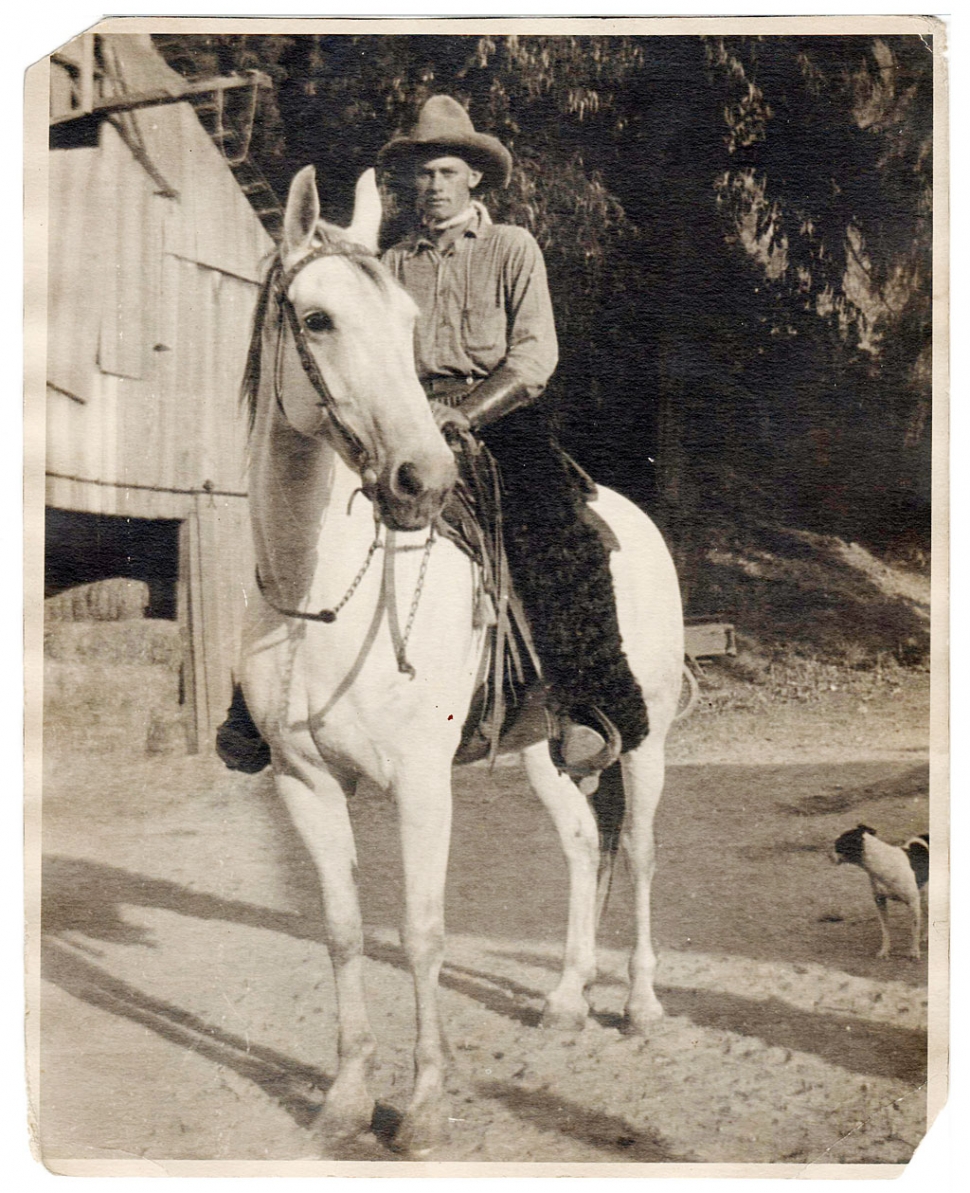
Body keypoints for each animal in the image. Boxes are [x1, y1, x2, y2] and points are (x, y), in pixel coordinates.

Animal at [239, 168, 682, 1154]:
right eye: (317, 318)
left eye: (406, 321)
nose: (423, 479)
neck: (320, 597)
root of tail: (634, 523)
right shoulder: (302, 781)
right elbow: (342, 930)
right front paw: (346, 1097)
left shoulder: (420, 783)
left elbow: (423, 933)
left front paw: (426, 1107)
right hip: (547, 747)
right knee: (583, 842)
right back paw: (566, 997)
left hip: (647, 735)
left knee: (637, 851)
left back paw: (639, 1005)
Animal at [830, 825, 930, 963]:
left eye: (838, 844)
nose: (829, 856)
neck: (883, 863)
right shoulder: (880, 901)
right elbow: (885, 929)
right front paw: (884, 951)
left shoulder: (912, 902)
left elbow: (914, 929)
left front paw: (914, 953)